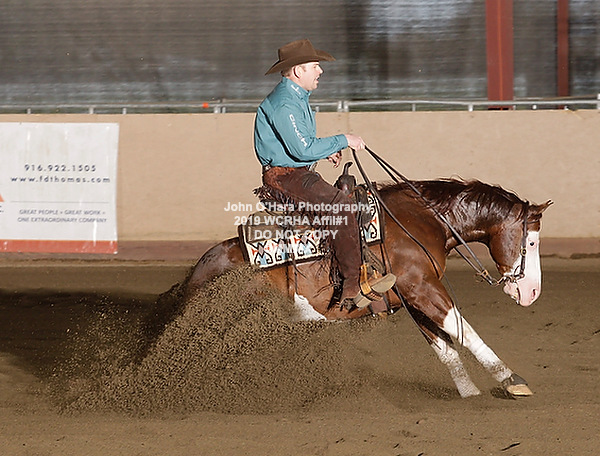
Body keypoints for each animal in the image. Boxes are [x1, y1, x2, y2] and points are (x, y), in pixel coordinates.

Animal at [183, 175, 552, 399]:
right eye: (532, 242)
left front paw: (469, 393)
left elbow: (445, 348)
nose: (532, 293)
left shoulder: (412, 298)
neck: (422, 221)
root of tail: (201, 269)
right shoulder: (423, 288)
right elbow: (465, 332)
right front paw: (512, 380)